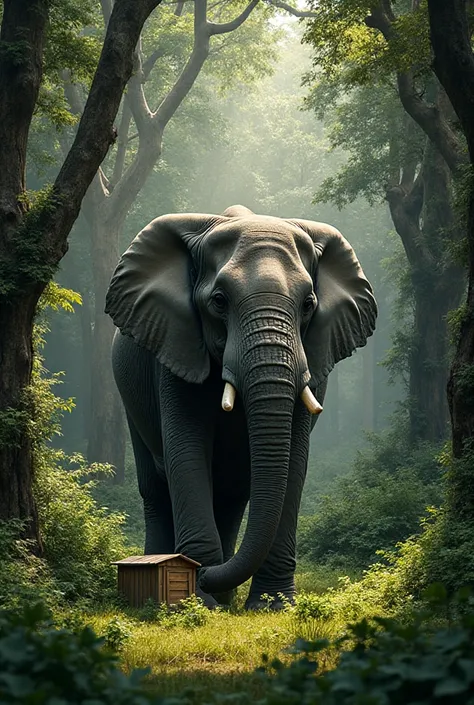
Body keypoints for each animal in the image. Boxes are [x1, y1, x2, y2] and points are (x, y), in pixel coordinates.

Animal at [105, 205, 377, 610]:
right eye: (219, 301)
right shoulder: (176, 348)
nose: (204, 574)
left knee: (231, 496)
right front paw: (200, 602)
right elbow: (186, 449)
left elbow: (295, 460)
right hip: (129, 395)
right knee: (154, 486)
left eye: (308, 305)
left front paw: (272, 606)